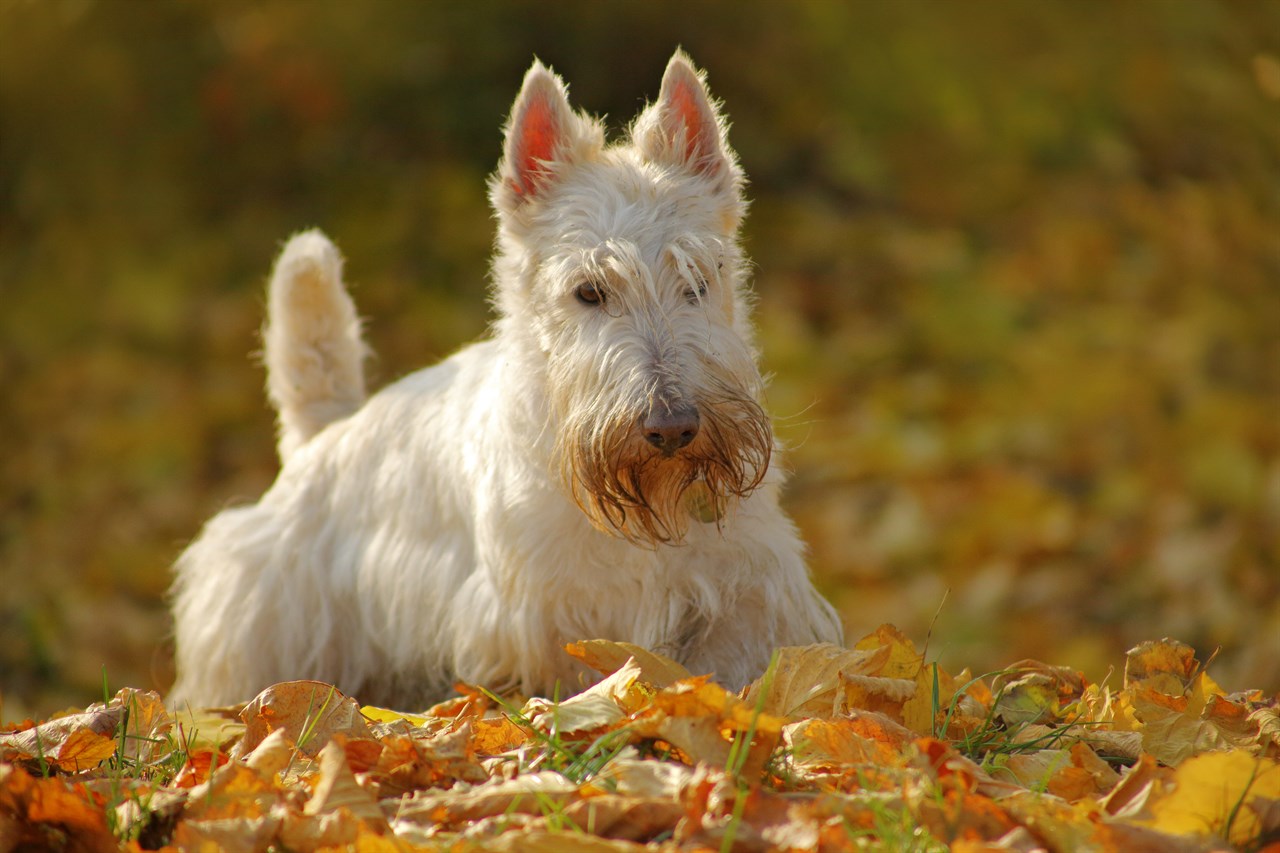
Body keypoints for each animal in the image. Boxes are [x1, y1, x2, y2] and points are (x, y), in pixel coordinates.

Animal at [172, 49, 849, 706]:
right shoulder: (537, 615)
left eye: (699, 280)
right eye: (588, 291)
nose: (673, 428)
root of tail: (324, 434)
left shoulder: (741, 592)